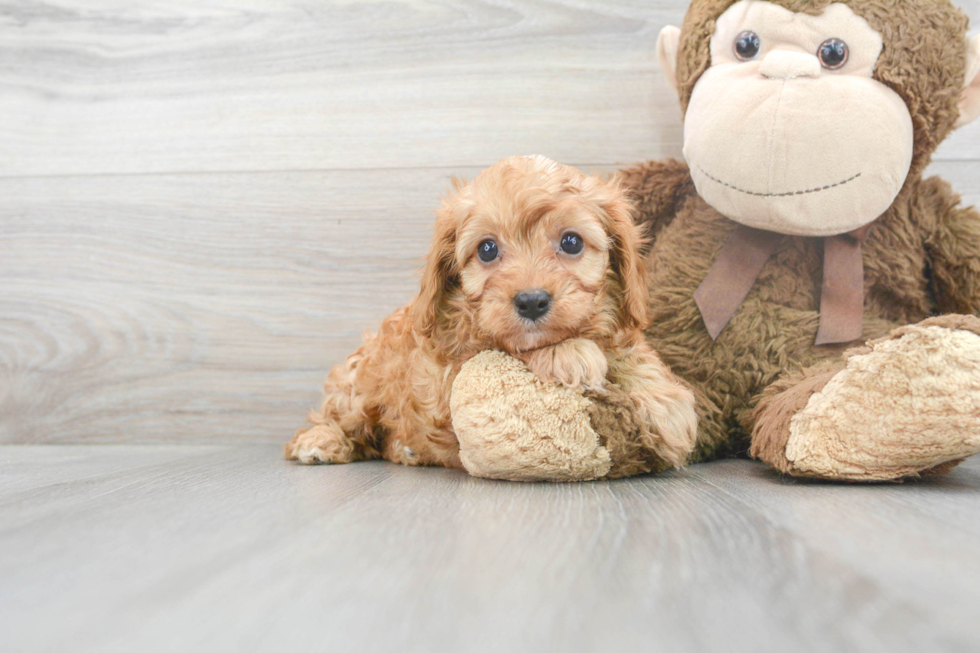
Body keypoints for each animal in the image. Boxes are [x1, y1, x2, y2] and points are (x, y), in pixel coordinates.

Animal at [288, 153, 700, 468]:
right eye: (487, 249)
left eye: (571, 242)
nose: (531, 301)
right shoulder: (449, 370)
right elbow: (504, 347)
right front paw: (567, 353)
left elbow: (629, 353)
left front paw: (667, 406)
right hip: (357, 385)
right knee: (338, 416)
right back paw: (320, 441)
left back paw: (404, 448)